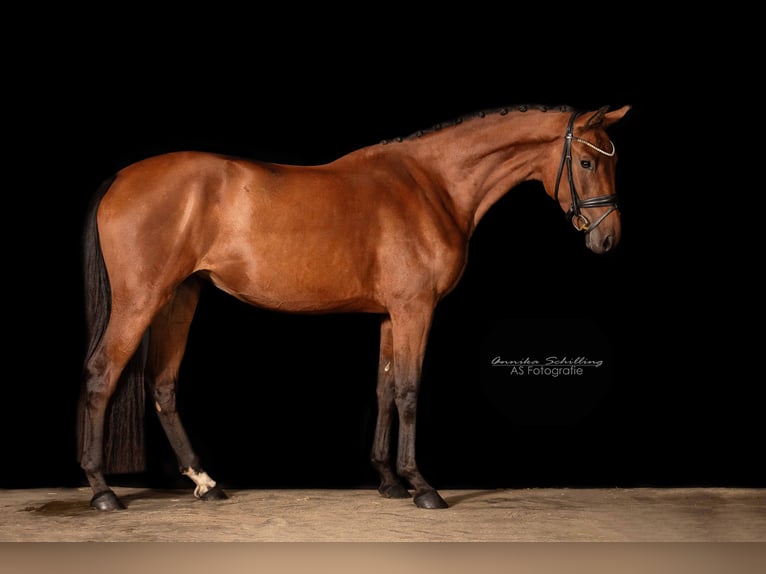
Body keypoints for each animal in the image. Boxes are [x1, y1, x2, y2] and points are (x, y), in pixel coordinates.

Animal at [78, 103, 632, 512]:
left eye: (612, 160)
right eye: (586, 162)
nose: (607, 239)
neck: (431, 185)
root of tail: (120, 178)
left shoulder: (391, 314)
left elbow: (384, 389)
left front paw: (388, 482)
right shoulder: (415, 310)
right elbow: (408, 391)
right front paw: (421, 486)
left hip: (181, 297)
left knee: (163, 385)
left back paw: (206, 483)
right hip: (141, 300)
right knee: (102, 375)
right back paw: (102, 491)